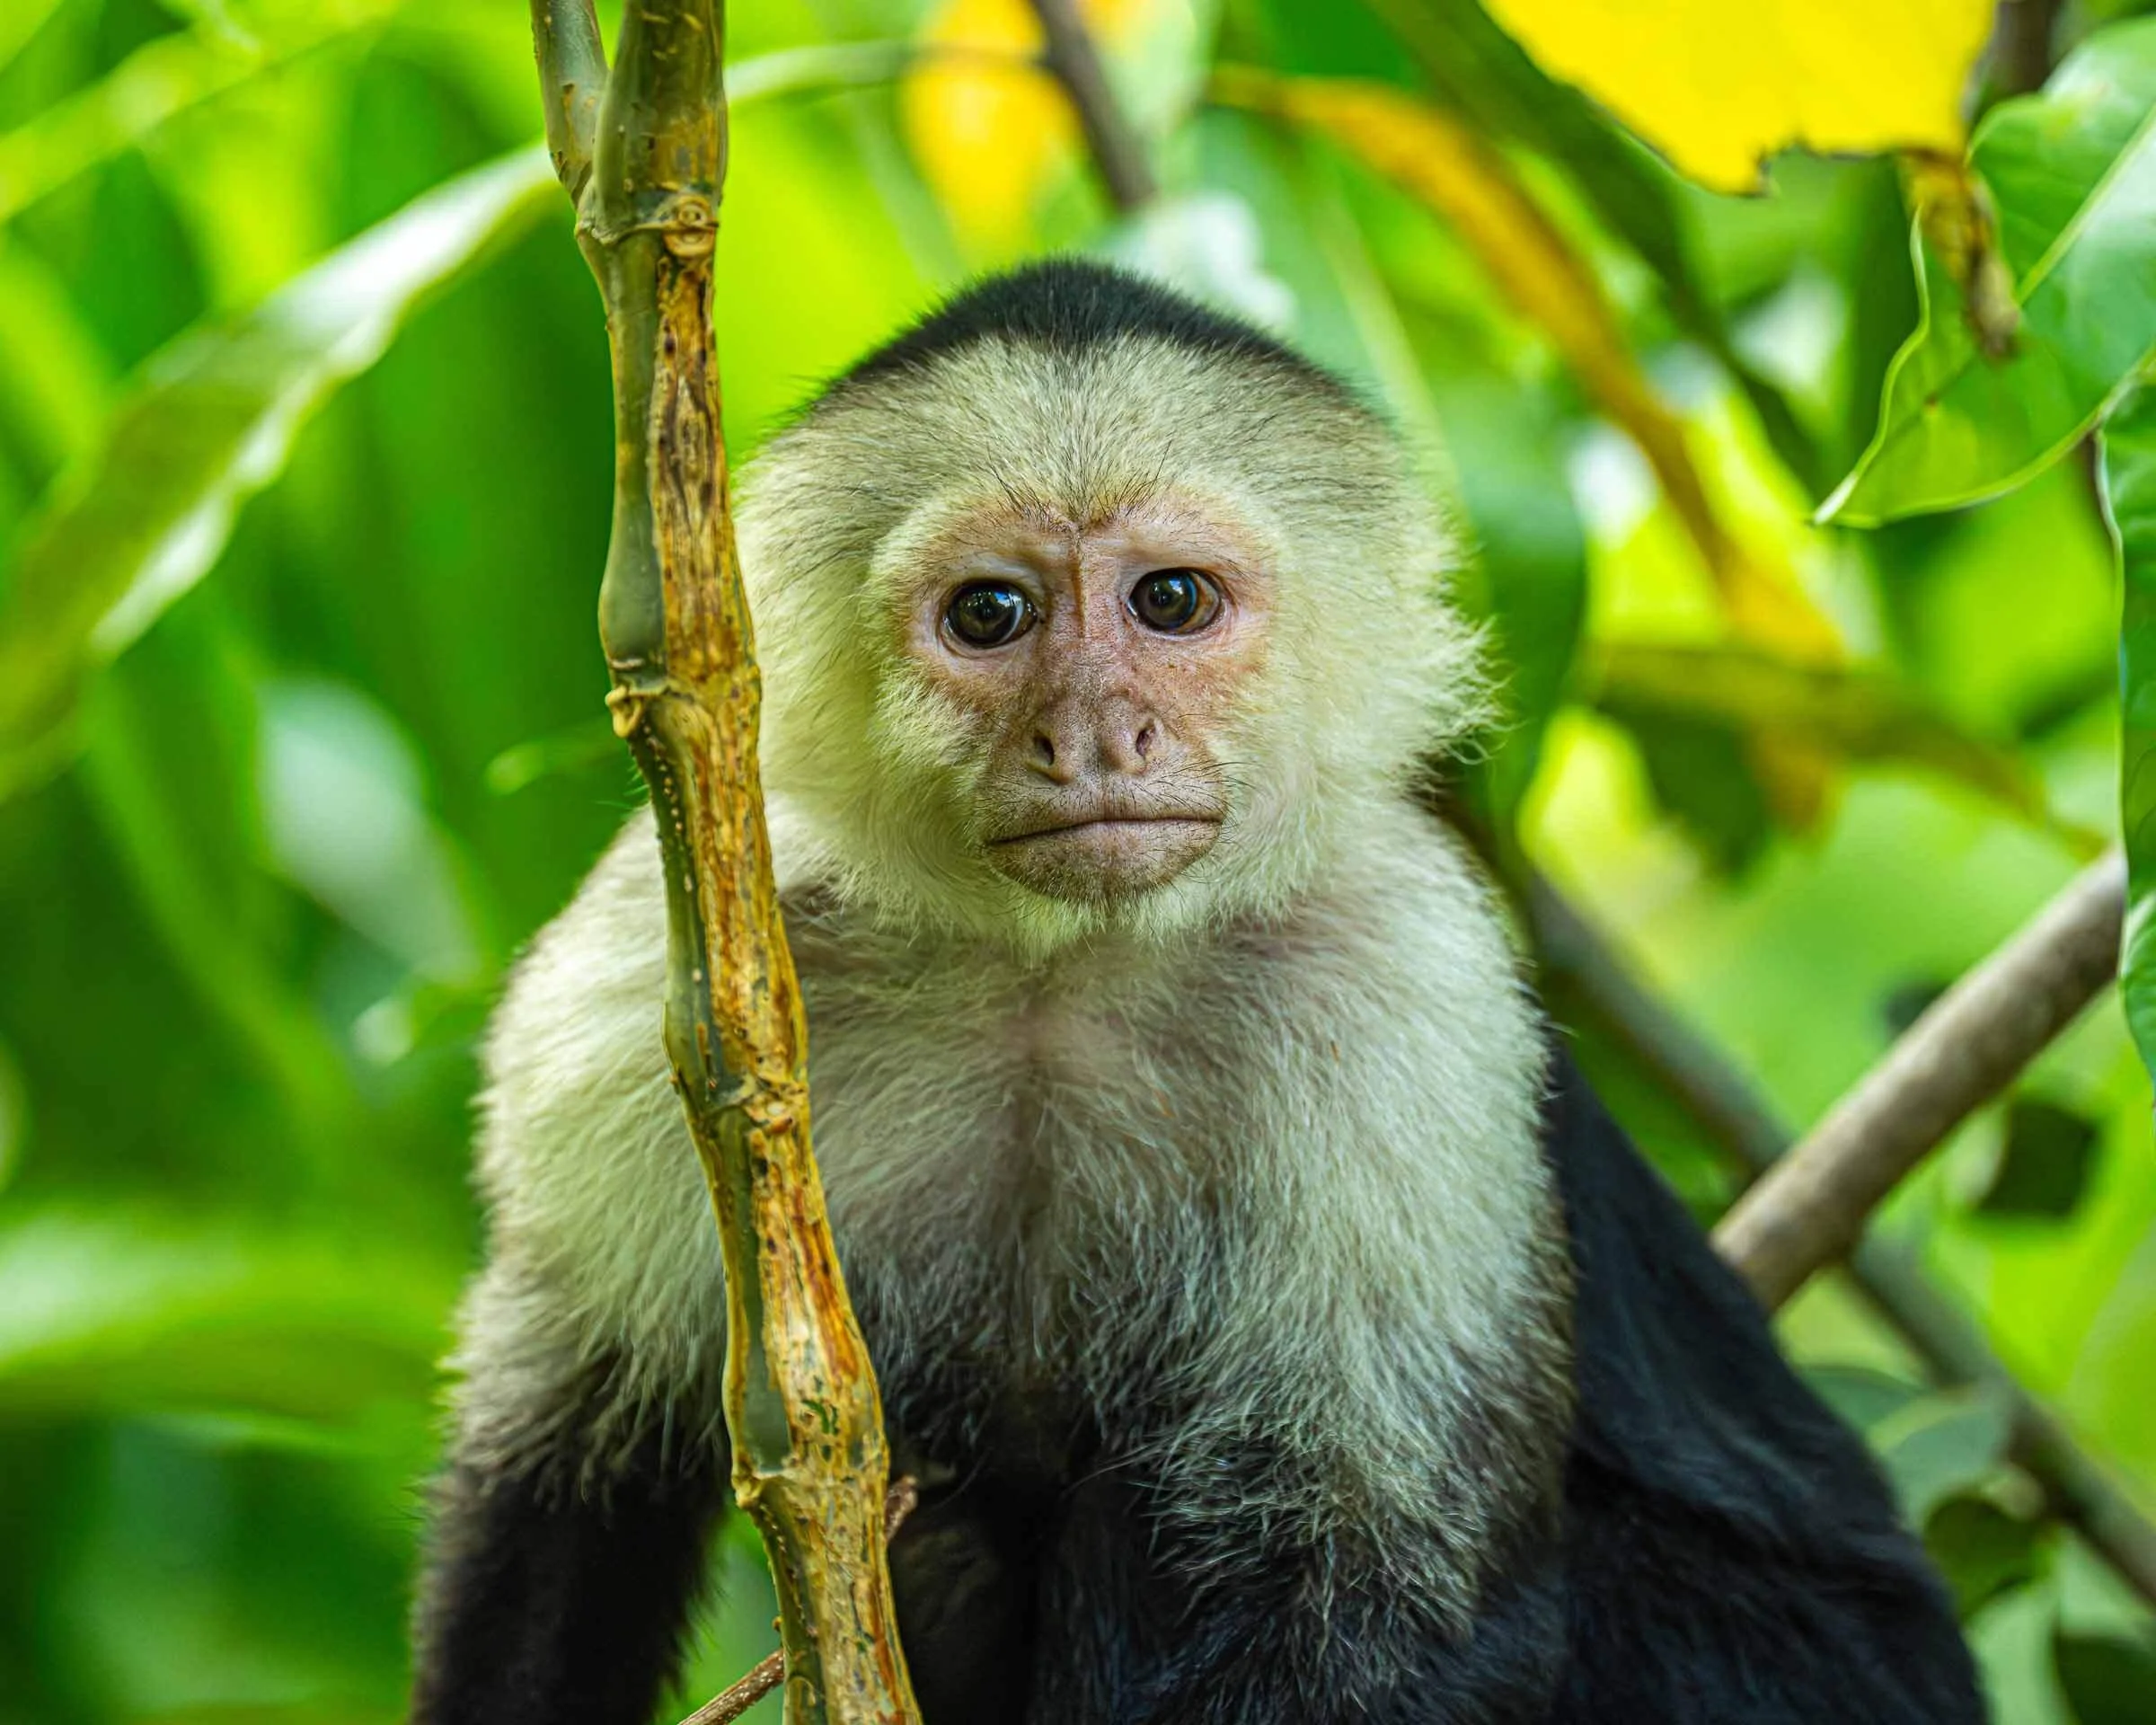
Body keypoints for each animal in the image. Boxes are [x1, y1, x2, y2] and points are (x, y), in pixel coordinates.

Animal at [408, 258, 1984, 1724]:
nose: (1096, 735)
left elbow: (1365, 1583)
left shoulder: (1405, 985)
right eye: (991, 612)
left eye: (1171, 601)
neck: (1055, 973)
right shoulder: (657, 974)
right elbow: (568, 1464)